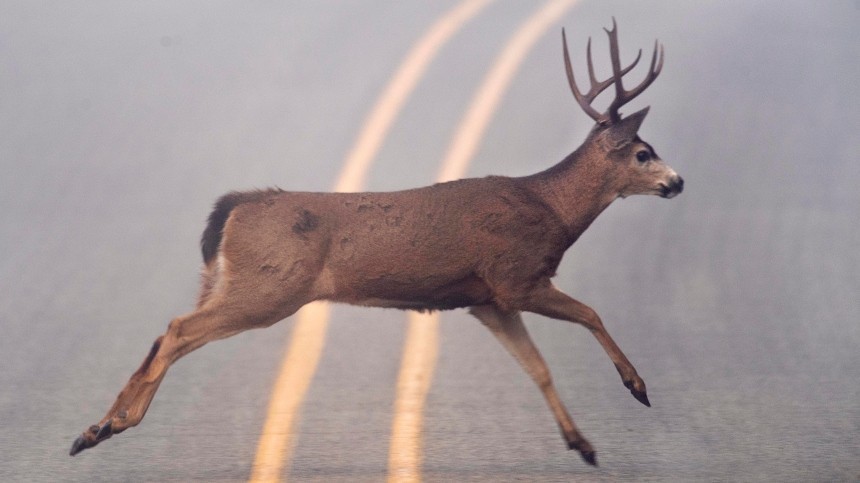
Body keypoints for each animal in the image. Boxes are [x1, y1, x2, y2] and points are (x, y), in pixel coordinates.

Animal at [69, 19, 684, 468]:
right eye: (643, 153)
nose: (678, 182)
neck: (551, 209)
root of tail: (236, 206)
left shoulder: (485, 301)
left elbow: (538, 369)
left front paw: (583, 445)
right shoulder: (516, 276)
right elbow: (591, 314)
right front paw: (637, 387)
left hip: (239, 283)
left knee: (166, 331)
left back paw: (95, 429)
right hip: (269, 287)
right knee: (176, 329)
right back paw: (110, 426)